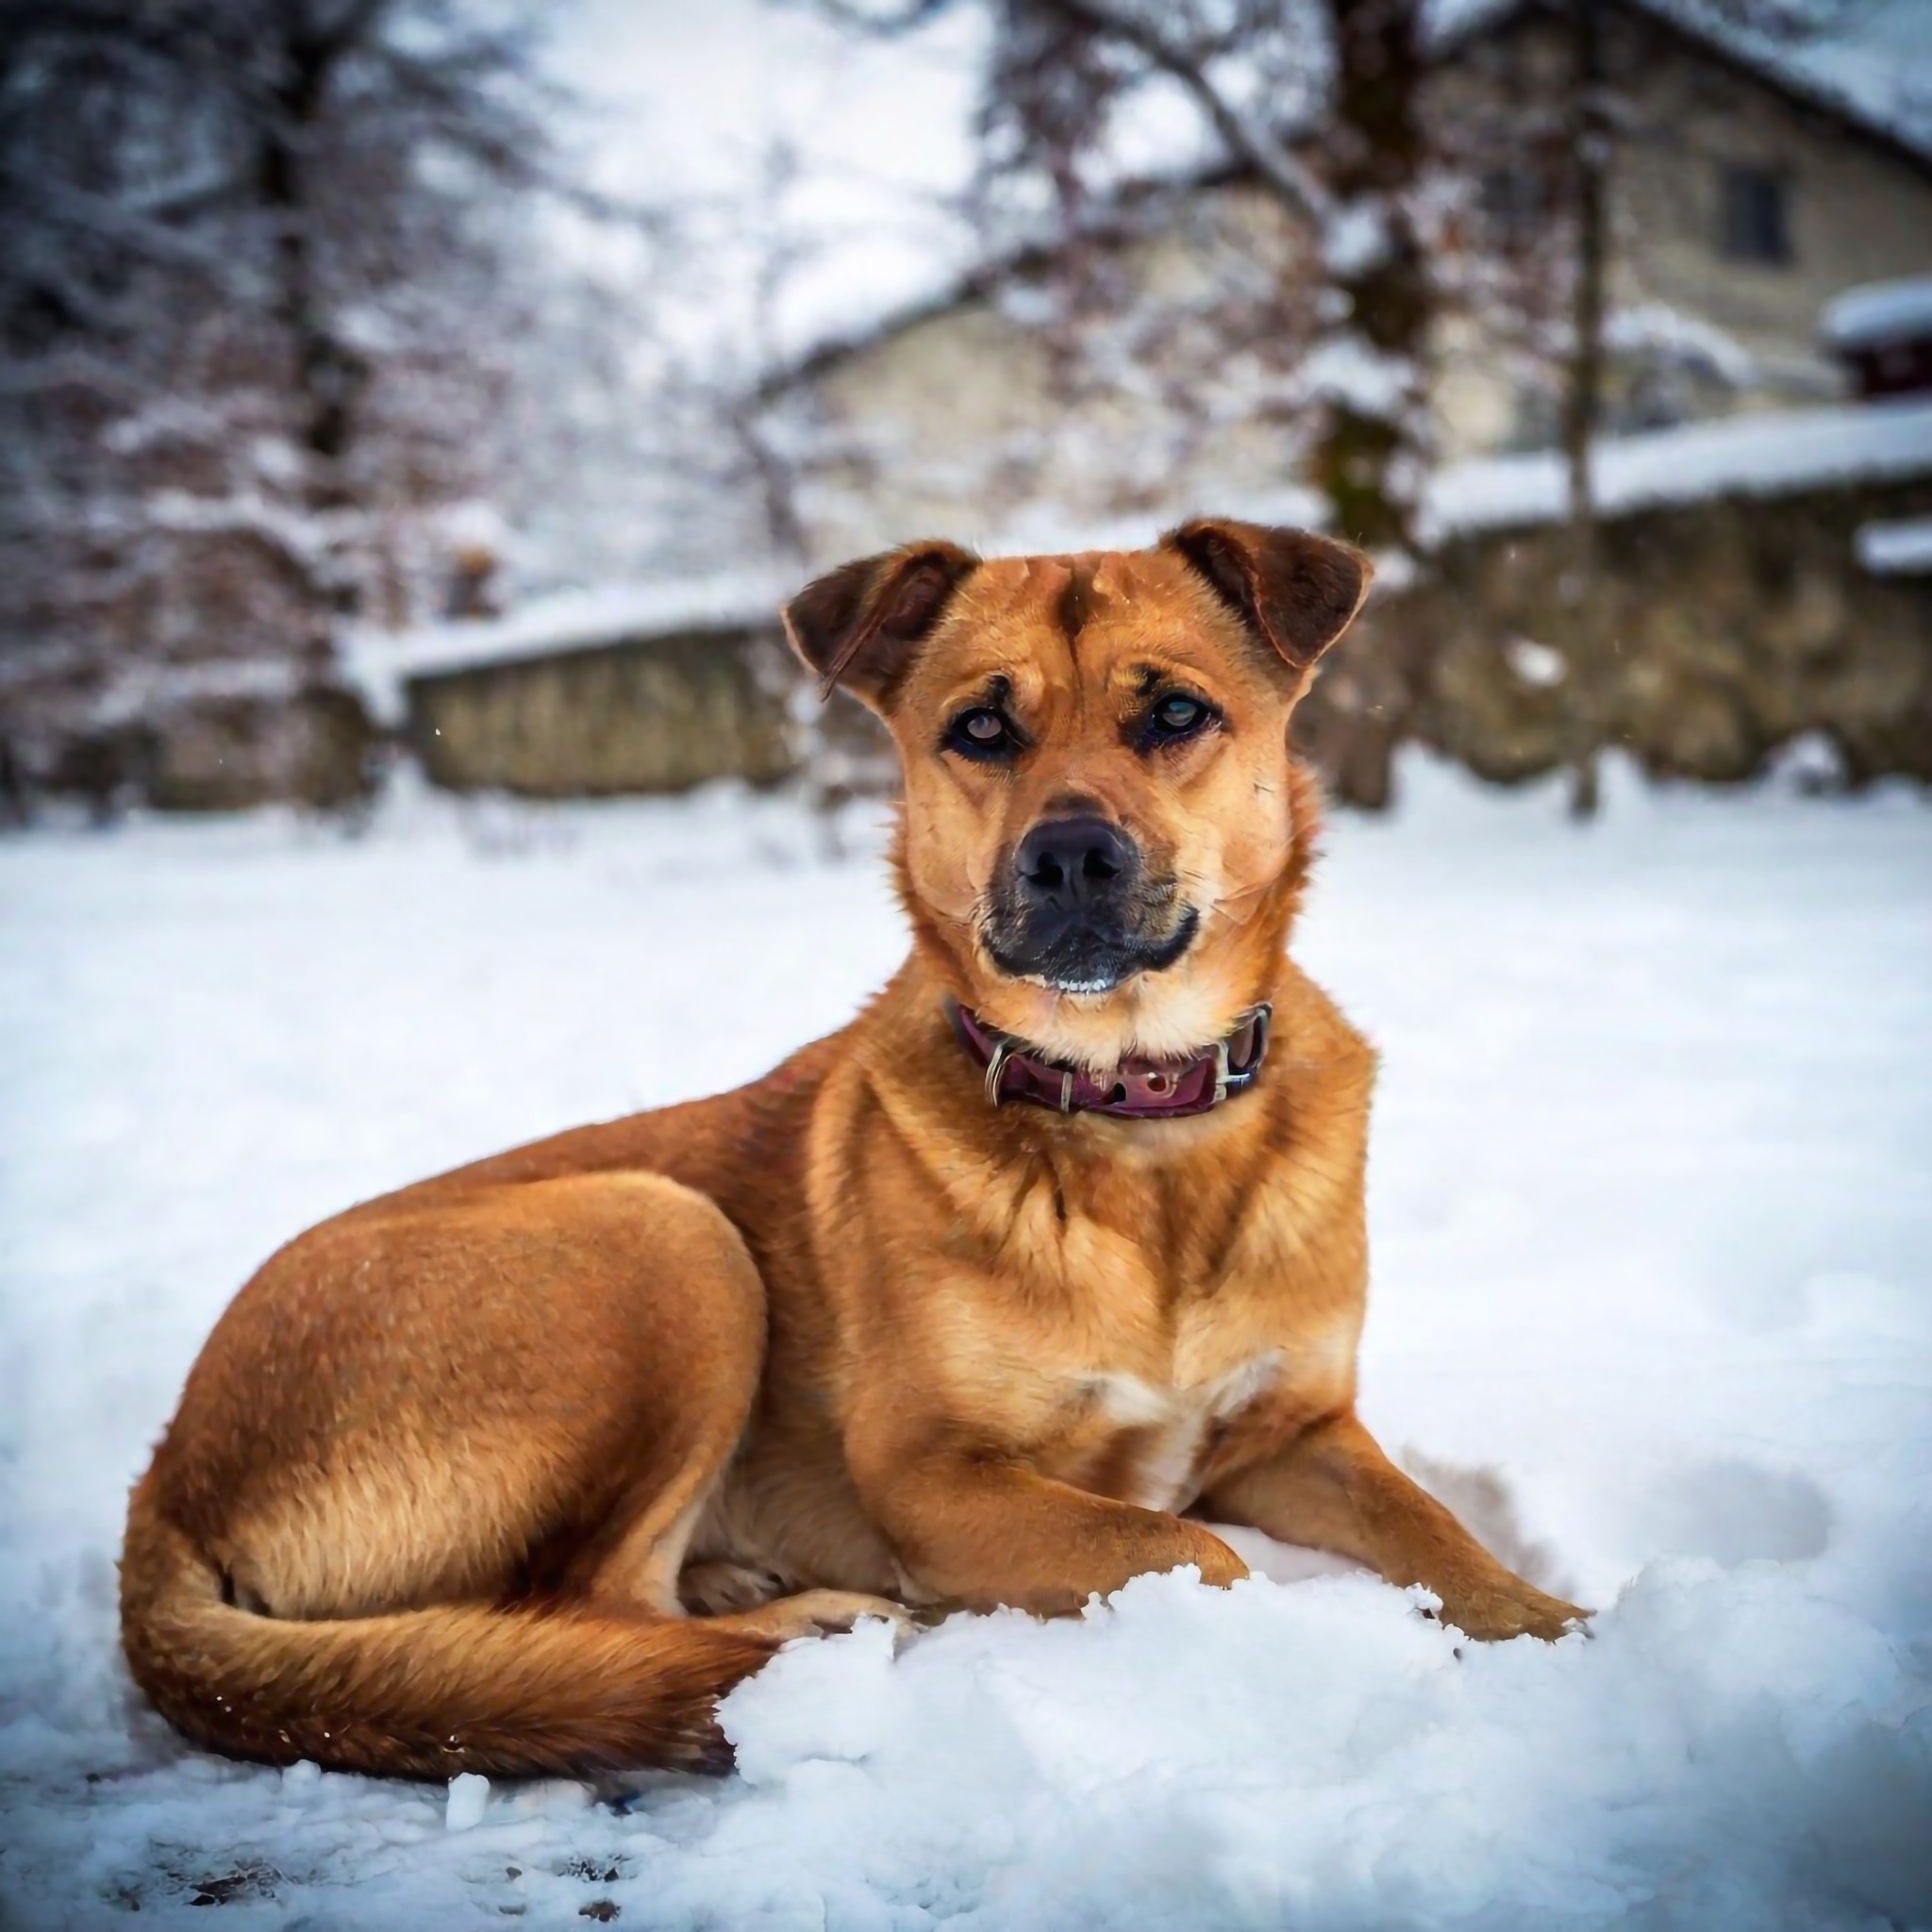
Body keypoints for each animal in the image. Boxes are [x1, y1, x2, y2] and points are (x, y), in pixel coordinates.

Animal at [121, 517, 1584, 1777]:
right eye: (980, 728)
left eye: (1174, 713)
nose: (1069, 858)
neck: (1131, 1113)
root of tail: (165, 1475)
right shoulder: (934, 1479)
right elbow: (1190, 1551)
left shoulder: (1300, 1432)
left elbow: (1437, 1530)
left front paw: (1557, 1632)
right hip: (665, 1240)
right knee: (592, 1599)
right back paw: (815, 1625)